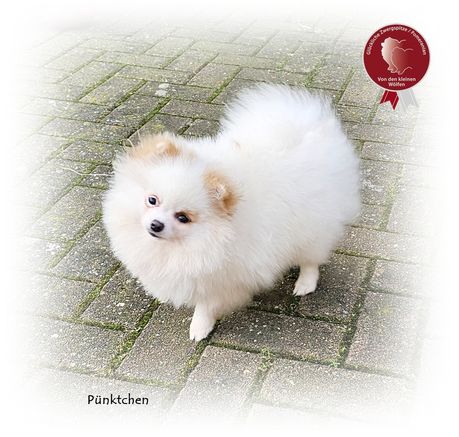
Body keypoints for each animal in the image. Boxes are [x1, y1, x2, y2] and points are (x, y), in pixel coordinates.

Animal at [103, 84, 361, 341]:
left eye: (183, 217)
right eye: (152, 200)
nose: (156, 224)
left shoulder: (222, 279)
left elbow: (206, 305)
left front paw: (199, 327)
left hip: (313, 226)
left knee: (311, 259)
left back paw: (305, 283)